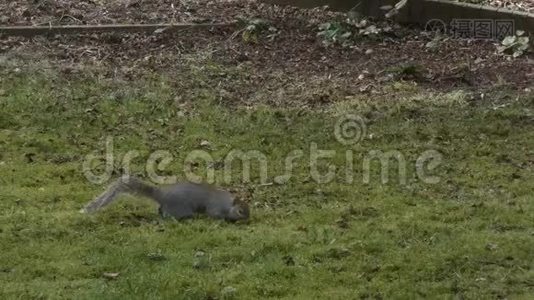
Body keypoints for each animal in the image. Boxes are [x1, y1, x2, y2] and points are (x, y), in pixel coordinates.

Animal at [83, 177, 251, 221]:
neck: (227, 204)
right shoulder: (215, 207)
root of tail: (162, 195)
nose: (248, 219)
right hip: (180, 209)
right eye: (241, 211)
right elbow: (214, 215)